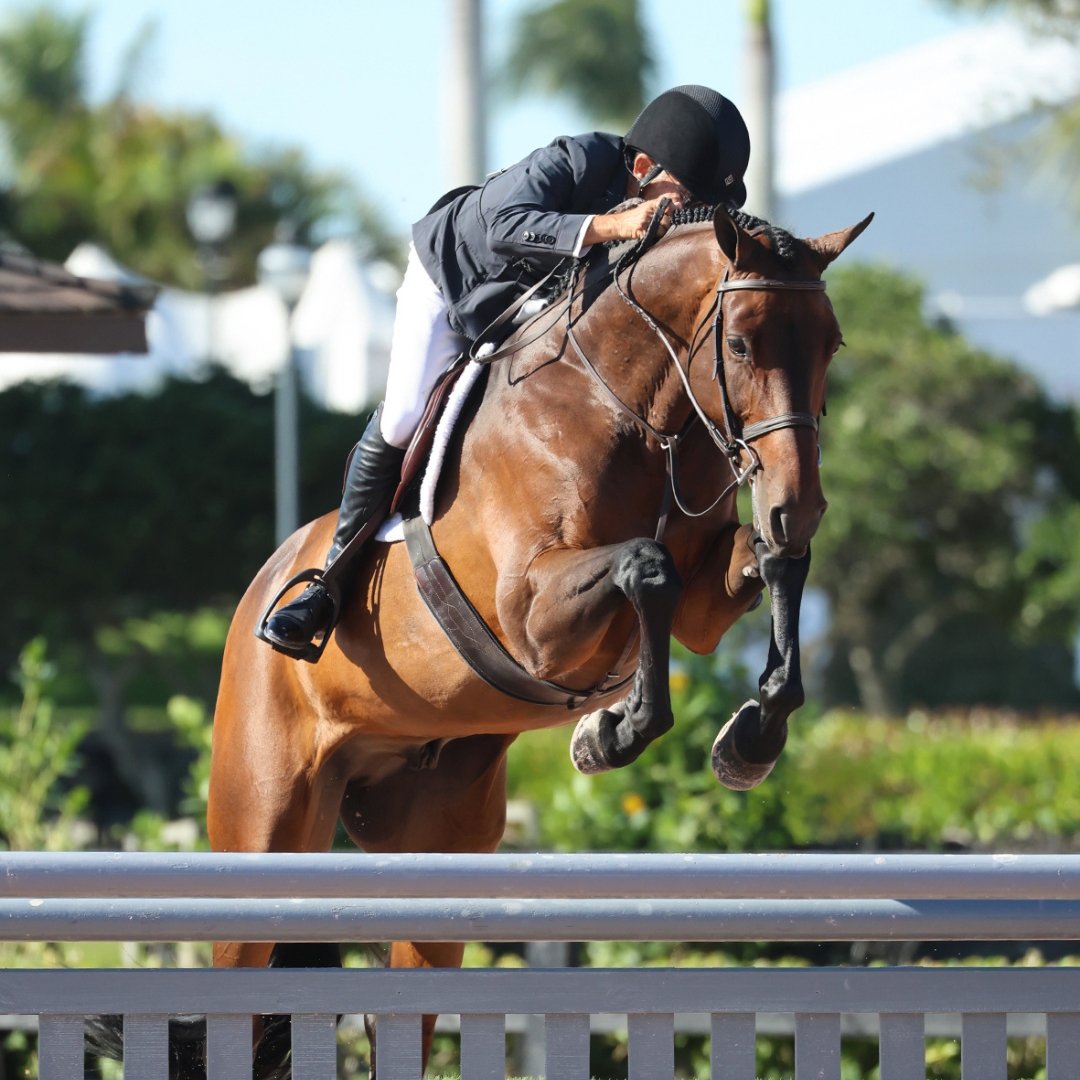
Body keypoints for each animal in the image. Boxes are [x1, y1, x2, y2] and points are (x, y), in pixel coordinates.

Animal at [206, 203, 872, 1071]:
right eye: (739, 344)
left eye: (831, 345)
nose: (800, 503)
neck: (632, 409)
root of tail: (265, 581)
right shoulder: (531, 614)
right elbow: (647, 567)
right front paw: (617, 729)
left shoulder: (703, 605)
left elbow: (768, 565)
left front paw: (750, 735)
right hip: (262, 827)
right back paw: (303, 613)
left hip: (435, 848)